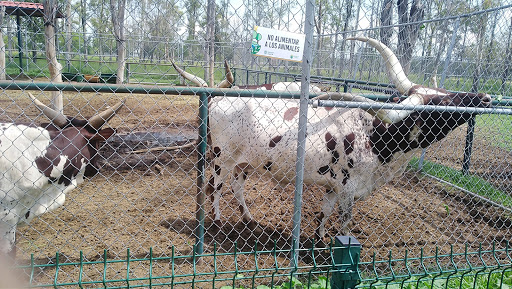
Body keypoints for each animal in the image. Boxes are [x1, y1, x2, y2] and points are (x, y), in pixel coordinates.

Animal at [173, 38, 492, 240]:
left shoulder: (333, 186)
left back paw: (248, 218)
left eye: (445, 94)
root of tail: (220, 95)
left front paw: (319, 236)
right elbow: (345, 221)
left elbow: (325, 213)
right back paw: (215, 221)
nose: (484, 97)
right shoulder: (348, 189)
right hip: (221, 157)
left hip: (246, 162)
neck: (373, 132)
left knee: (236, 187)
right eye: (440, 104)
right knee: (215, 187)